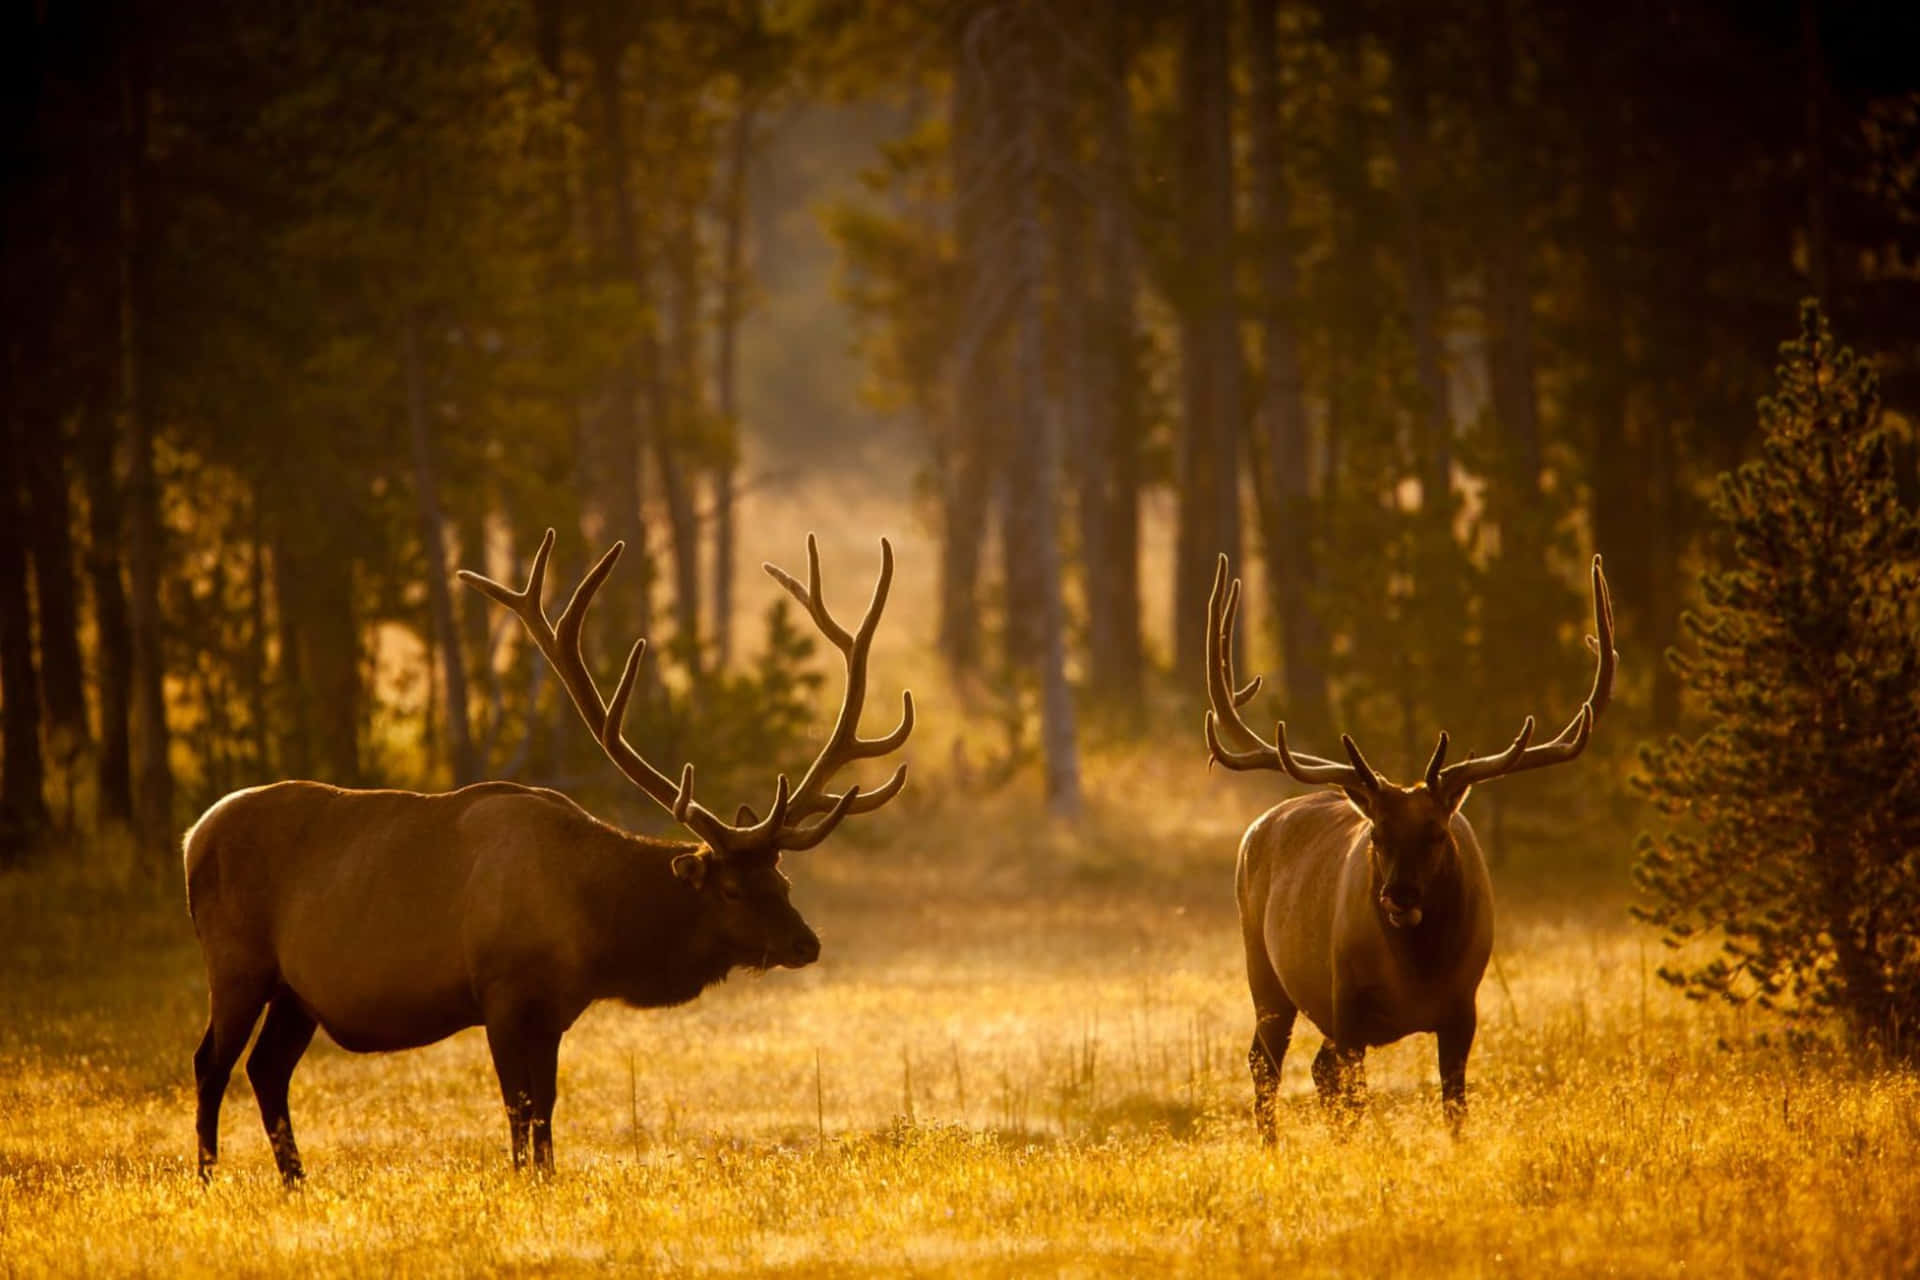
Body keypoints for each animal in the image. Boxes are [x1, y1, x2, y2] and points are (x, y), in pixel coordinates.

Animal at [181, 529, 913, 1182]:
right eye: (733, 887)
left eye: (783, 879)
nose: (806, 942)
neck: (594, 927)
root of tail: (193, 835)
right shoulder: (502, 991)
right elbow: (520, 1107)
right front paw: (524, 1181)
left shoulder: (556, 1009)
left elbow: (548, 1110)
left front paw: (546, 1178)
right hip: (237, 960)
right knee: (212, 1061)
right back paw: (209, 1177)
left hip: (296, 990)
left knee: (266, 1068)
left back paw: (295, 1180)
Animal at [1205, 556, 1612, 1136]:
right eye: (1376, 834)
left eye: (1438, 833)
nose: (1399, 895)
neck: (1416, 974)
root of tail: (1256, 827)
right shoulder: (1348, 1008)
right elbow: (1354, 1100)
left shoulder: (1463, 1009)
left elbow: (1454, 1110)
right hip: (1264, 969)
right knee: (1266, 1062)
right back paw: (1272, 1146)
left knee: (1315, 1069)